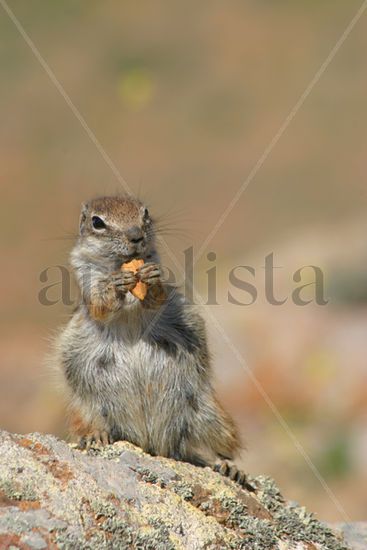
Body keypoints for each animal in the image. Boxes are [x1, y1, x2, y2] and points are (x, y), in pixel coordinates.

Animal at [54, 196, 250, 490]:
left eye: (145, 212)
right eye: (97, 222)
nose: (136, 235)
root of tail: (154, 445)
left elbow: (158, 296)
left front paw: (151, 278)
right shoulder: (85, 276)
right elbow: (100, 304)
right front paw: (115, 285)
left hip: (208, 412)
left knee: (217, 445)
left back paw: (230, 468)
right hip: (85, 407)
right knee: (91, 422)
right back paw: (95, 436)